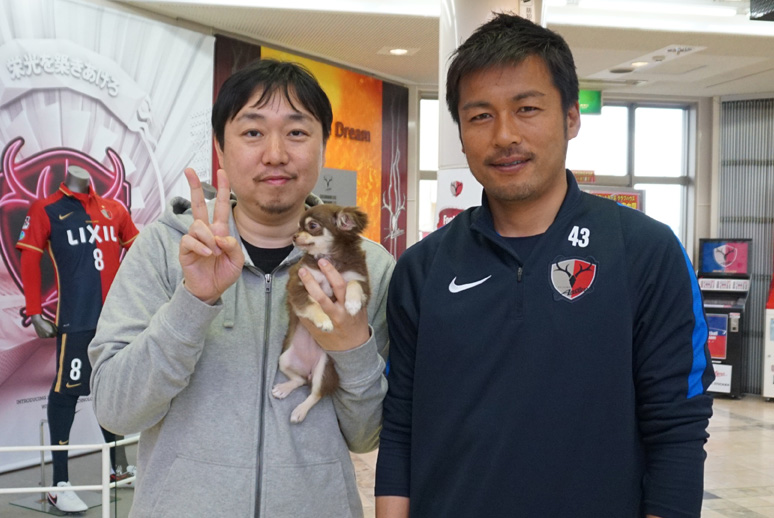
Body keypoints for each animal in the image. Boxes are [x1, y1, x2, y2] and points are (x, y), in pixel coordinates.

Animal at [271, 204, 370, 423]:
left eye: (312, 226)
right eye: (297, 227)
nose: (294, 236)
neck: (329, 258)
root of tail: (308, 370)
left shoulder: (362, 282)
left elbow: (352, 283)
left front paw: (351, 304)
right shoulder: (299, 285)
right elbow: (313, 304)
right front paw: (324, 320)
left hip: (323, 369)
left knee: (316, 393)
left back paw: (300, 409)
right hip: (285, 359)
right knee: (299, 381)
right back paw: (286, 390)